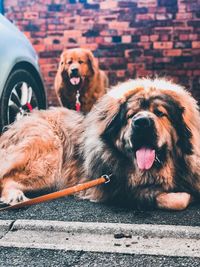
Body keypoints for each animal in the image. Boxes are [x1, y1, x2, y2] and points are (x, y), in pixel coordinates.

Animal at [0, 78, 200, 211]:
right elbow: (176, 199)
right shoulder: (120, 190)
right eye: (131, 115)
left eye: (160, 113)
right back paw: (15, 196)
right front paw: (187, 196)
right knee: (7, 178)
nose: (141, 122)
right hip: (48, 158)